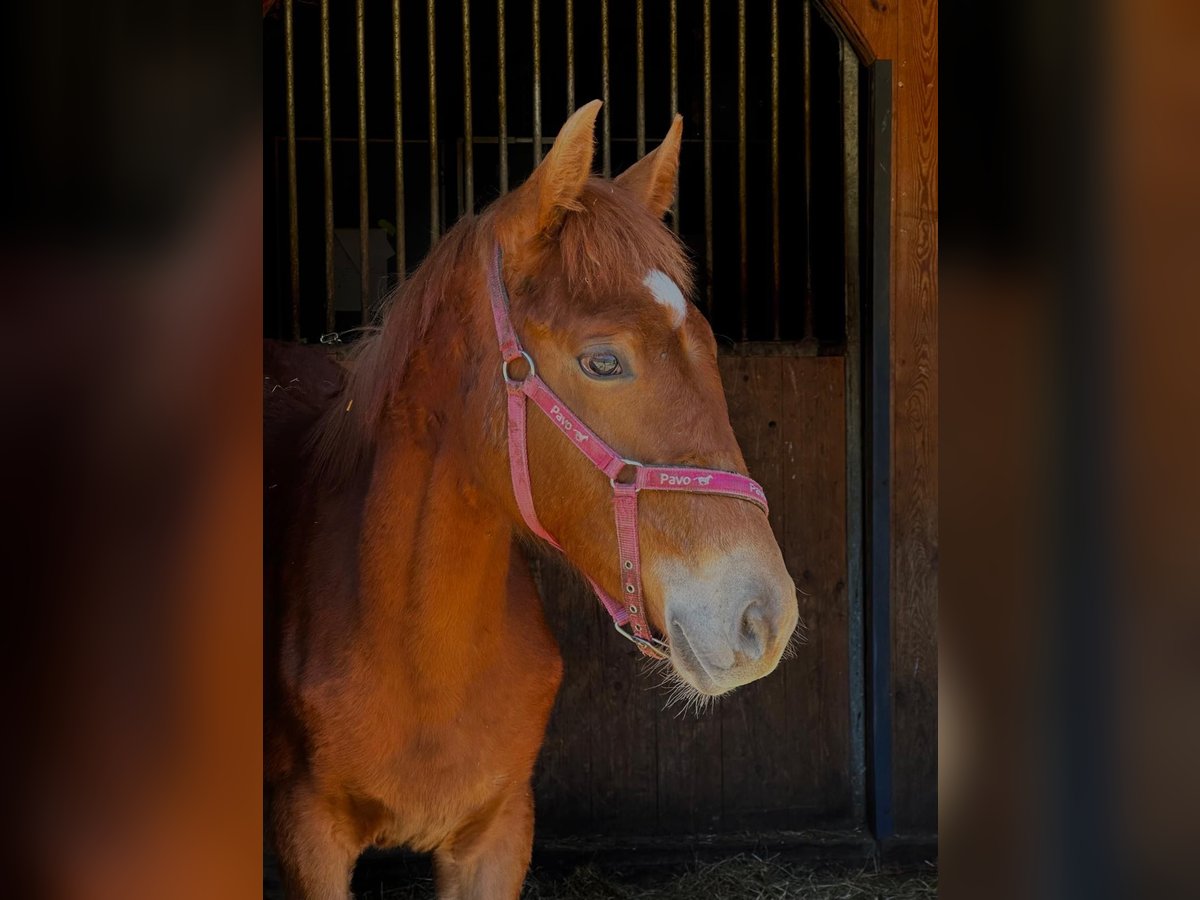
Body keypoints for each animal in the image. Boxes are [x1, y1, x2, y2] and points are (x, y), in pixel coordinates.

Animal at [267, 102, 801, 900]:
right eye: (603, 361)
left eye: (709, 344)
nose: (763, 617)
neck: (419, 656)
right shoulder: (308, 839)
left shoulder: (497, 836)